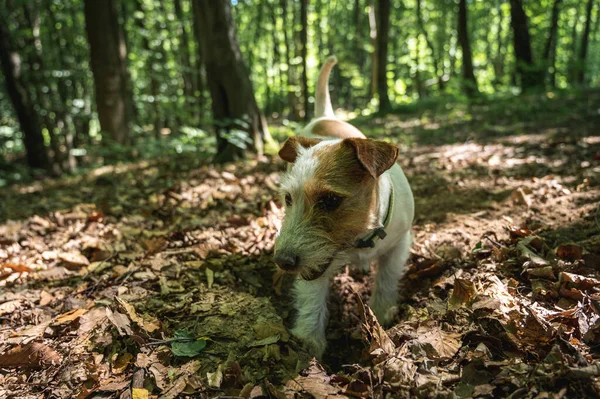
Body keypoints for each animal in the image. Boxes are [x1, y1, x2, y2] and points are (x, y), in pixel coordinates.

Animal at [274, 56, 414, 360]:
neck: (362, 238)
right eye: (288, 199)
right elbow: (312, 297)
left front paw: (382, 313)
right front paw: (309, 339)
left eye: (330, 201)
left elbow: (387, 277)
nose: (283, 262)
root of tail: (325, 116)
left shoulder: (400, 243)